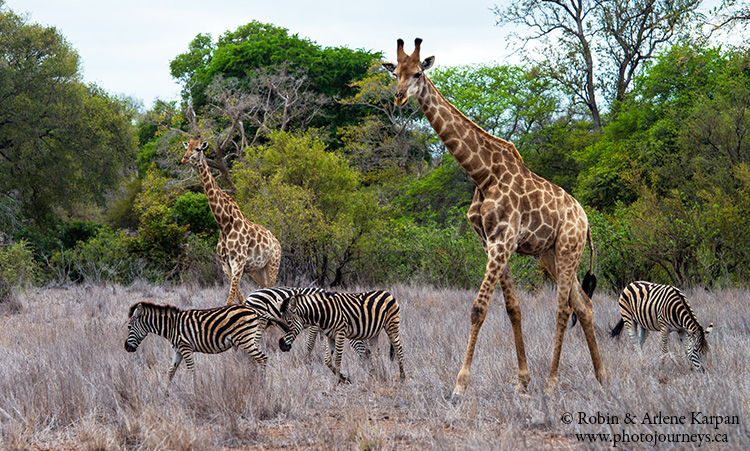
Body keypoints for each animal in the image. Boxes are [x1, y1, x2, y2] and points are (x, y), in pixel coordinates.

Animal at [125, 300, 290, 382]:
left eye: (129, 327)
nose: (126, 348)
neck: (171, 326)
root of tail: (255, 310)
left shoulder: (185, 347)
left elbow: (191, 370)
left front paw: (193, 390)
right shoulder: (178, 349)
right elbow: (171, 371)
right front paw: (166, 392)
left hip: (245, 340)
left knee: (262, 358)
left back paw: (262, 384)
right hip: (251, 339)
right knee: (256, 360)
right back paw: (253, 381)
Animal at [182, 136, 282, 306]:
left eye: (198, 149)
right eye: (186, 147)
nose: (184, 158)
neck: (224, 224)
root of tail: (277, 242)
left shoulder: (238, 262)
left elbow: (230, 301)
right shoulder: (226, 265)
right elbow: (239, 299)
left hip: (273, 264)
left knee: (272, 289)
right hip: (258, 270)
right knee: (265, 290)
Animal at [274, 290, 406, 384]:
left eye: (289, 322)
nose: (281, 345)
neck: (323, 314)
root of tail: (387, 292)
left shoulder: (340, 333)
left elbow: (337, 358)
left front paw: (337, 383)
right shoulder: (330, 336)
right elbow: (327, 360)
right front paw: (344, 379)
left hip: (392, 325)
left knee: (398, 349)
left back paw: (402, 377)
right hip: (374, 333)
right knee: (376, 353)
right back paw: (377, 374)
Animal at [384, 39, 608, 400]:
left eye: (418, 72)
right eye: (396, 73)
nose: (400, 97)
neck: (482, 173)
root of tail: (586, 221)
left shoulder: (502, 241)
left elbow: (478, 308)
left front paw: (460, 386)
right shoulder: (490, 241)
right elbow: (513, 308)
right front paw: (521, 382)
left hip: (568, 249)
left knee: (563, 309)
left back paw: (552, 383)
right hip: (550, 255)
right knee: (583, 304)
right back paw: (602, 377)